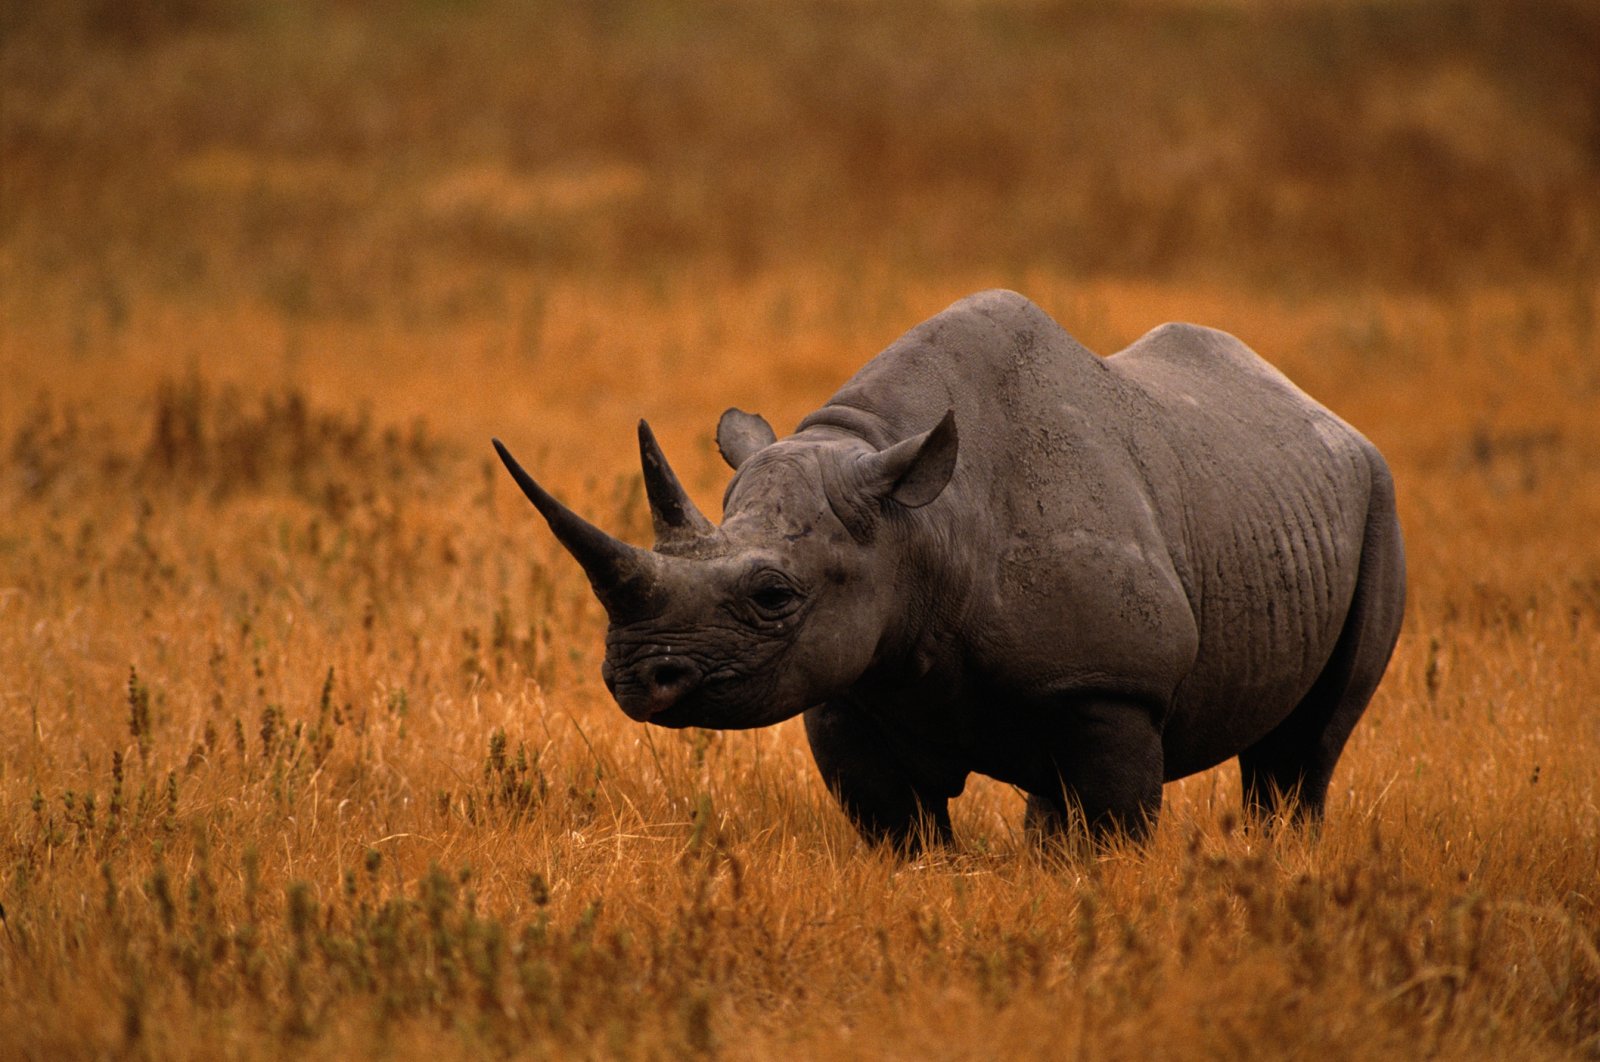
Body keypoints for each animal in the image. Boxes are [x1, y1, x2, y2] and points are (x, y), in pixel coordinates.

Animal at [492, 291, 1408, 857]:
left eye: (772, 595)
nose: (634, 679)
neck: (919, 526)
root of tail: (1316, 408)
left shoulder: (1116, 683)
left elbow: (1111, 823)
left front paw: (1088, 885)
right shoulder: (849, 678)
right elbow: (900, 827)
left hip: (1376, 494)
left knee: (1305, 748)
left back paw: (1282, 852)